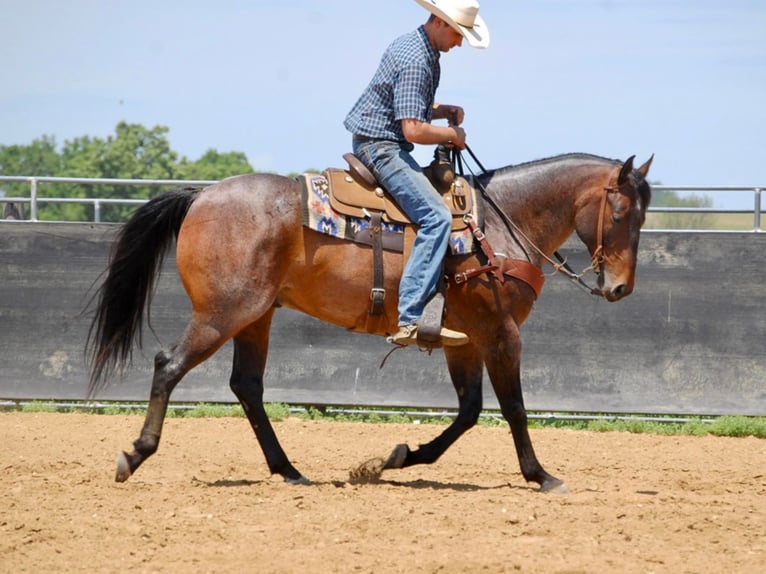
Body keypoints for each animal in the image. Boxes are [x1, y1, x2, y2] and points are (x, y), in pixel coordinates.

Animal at [88, 153, 656, 496]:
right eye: (622, 212)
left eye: (643, 216)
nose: (620, 287)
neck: (495, 225)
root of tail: (201, 196)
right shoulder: (500, 334)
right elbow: (513, 408)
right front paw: (541, 475)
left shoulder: (464, 341)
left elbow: (469, 412)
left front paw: (396, 458)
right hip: (223, 313)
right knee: (169, 365)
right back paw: (135, 455)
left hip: (255, 317)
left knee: (246, 386)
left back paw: (289, 471)